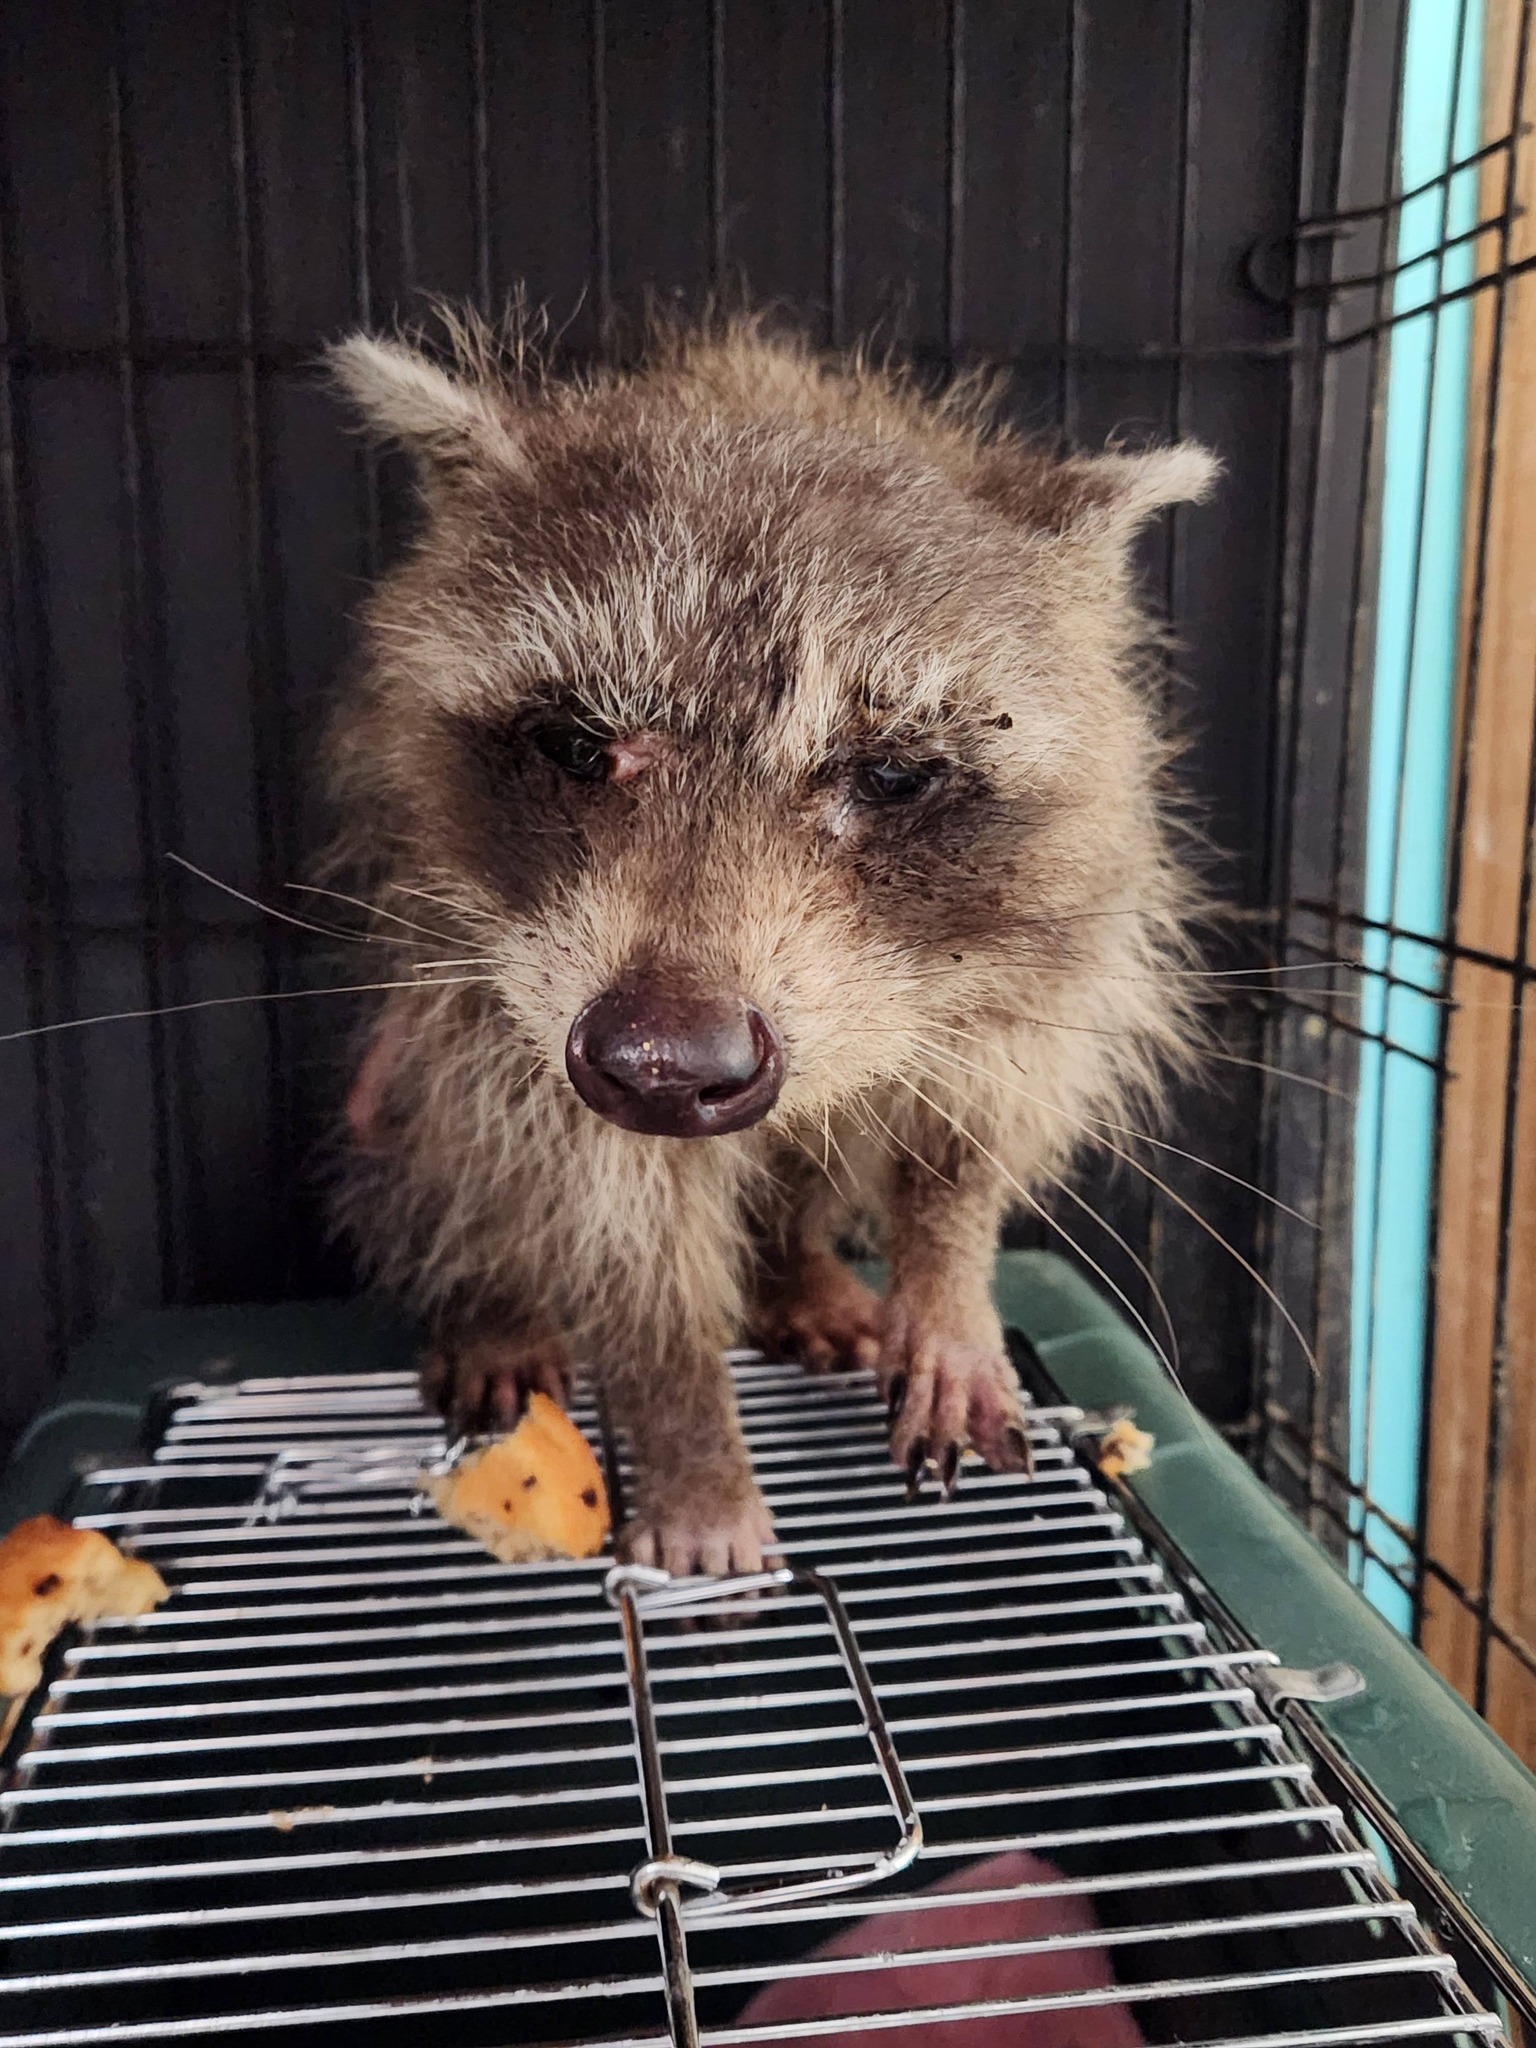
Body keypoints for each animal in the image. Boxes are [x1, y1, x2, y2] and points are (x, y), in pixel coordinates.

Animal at [325, 314, 1215, 1574]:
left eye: (889, 773)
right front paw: (686, 1419)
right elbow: (596, 1203)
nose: (663, 1061)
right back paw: (492, 1301)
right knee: (450, 1141)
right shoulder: (487, 981)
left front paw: (949, 1271)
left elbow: (976, 1115)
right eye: (575, 742)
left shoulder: (1049, 925)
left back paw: (798, 1263)